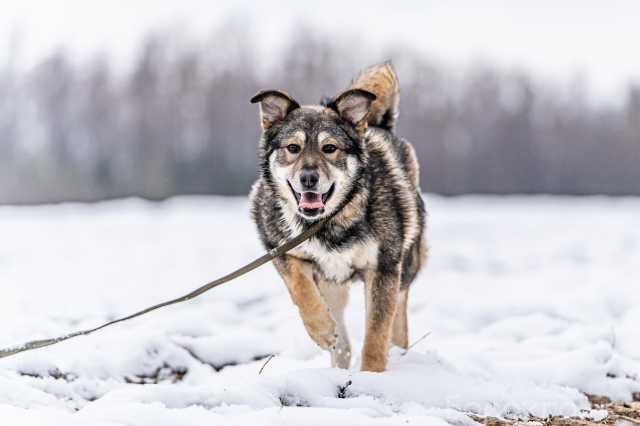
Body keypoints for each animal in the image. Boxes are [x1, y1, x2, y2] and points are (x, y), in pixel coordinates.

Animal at [249, 61, 424, 372]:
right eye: (292, 148)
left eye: (329, 148)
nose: (308, 178)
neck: (329, 222)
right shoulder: (281, 250)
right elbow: (302, 290)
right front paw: (322, 330)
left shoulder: (383, 268)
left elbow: (376, 333)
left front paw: (372, 375)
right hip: (332, 284)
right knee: (343, 343)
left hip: (405, 266)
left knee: (397, 322)